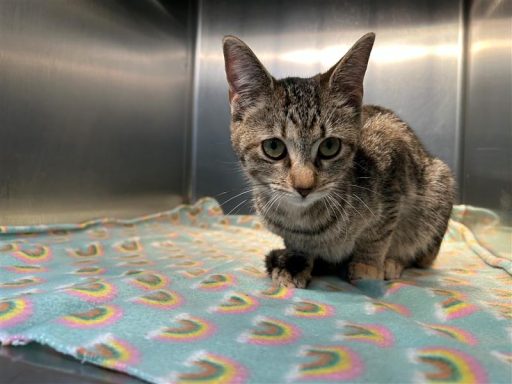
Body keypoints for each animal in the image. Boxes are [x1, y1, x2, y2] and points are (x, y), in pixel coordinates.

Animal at [222, 33, 454, 288]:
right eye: (273, 147)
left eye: (330, 146)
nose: (304, 187)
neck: (303, 222)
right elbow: (295, 244)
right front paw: (296, 261)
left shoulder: (393, 160)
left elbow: (379, 233)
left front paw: (367, 265)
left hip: (438, 187)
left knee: (420, 254)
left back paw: (393, 263)